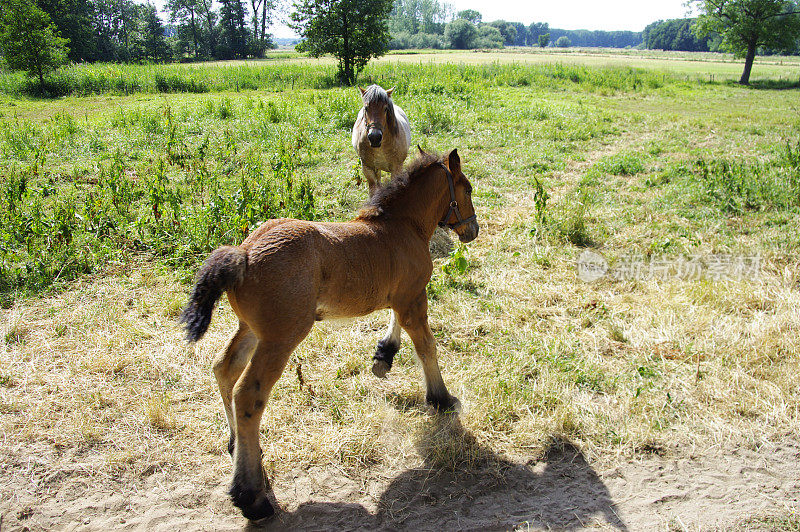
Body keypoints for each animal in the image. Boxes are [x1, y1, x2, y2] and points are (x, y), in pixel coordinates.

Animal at [180, 148, 478, 520]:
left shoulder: (401, 296)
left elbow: (397, 325)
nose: (473, 229)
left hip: (251, 328)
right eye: (467, 189)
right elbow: (427, 346)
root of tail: (244, 253)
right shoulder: (413, 296)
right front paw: (441, 398)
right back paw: (252, 496)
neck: (401, 227)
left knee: (224, 369)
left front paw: (384, 355)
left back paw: (240, 450)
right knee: (249, 395)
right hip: (282, 336)